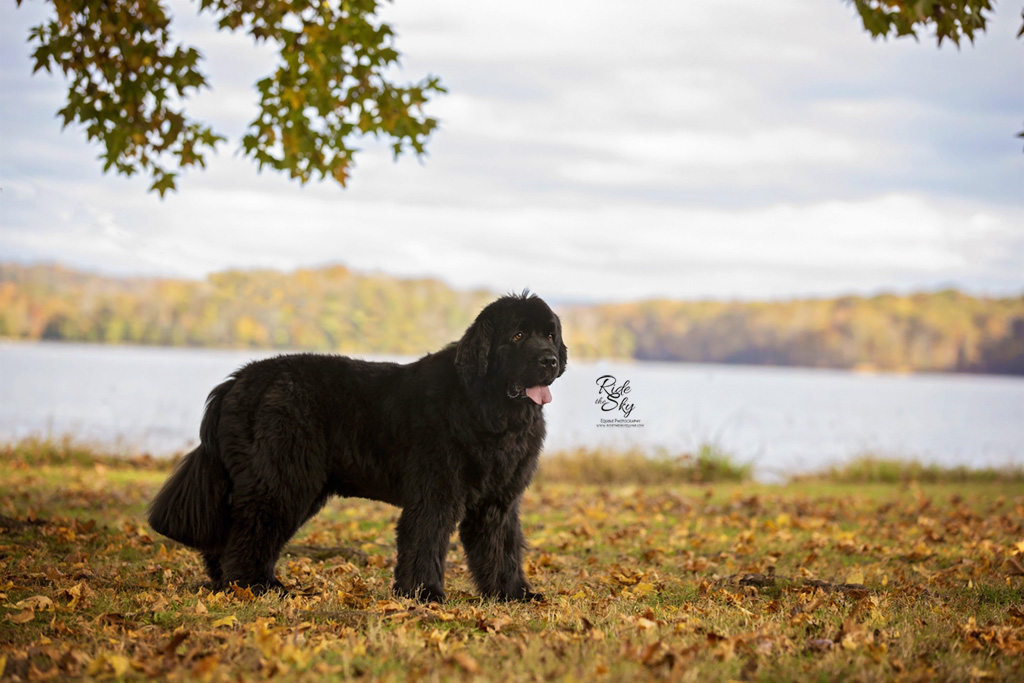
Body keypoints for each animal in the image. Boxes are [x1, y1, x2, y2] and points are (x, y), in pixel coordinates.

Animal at [148, 294, 569, 602]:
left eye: (549, 336)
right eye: (517, 336)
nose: (550, 361)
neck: (487, 407)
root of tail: (235, 381)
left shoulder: (498, 500)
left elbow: (502, 548)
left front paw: (514, 594)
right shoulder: (435, 492)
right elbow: (426, 538)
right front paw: (424, 594)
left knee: (231, 534)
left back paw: (231, 583)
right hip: (281, 478)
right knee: (251, 531)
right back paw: (256, 586)